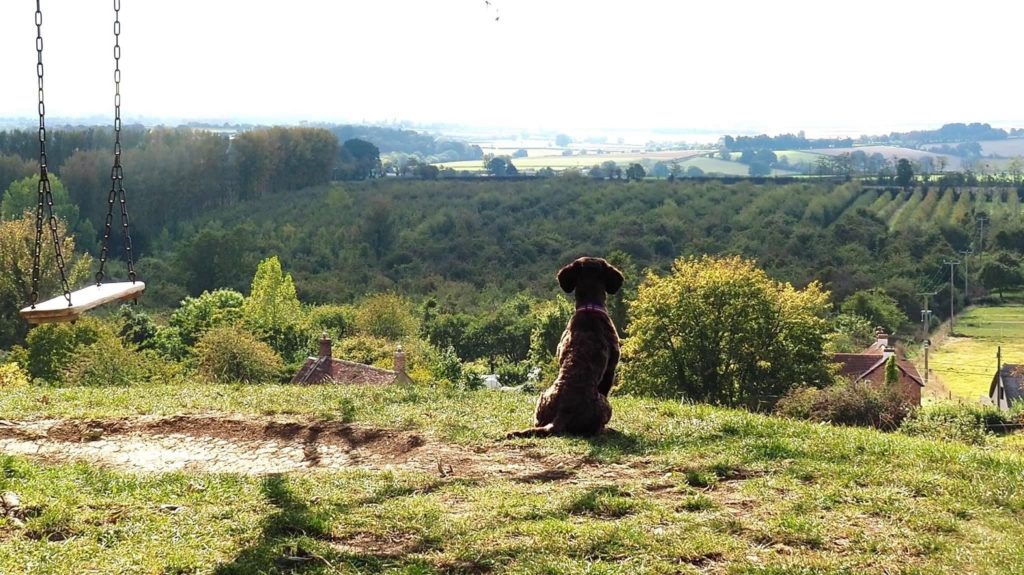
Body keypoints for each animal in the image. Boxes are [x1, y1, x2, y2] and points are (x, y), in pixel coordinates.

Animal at [509, 254, 626, 433]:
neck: (590, 307)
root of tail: (563, 413)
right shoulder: (610, 369)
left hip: (542, 399)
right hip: (605, 404)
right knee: (597, 429)